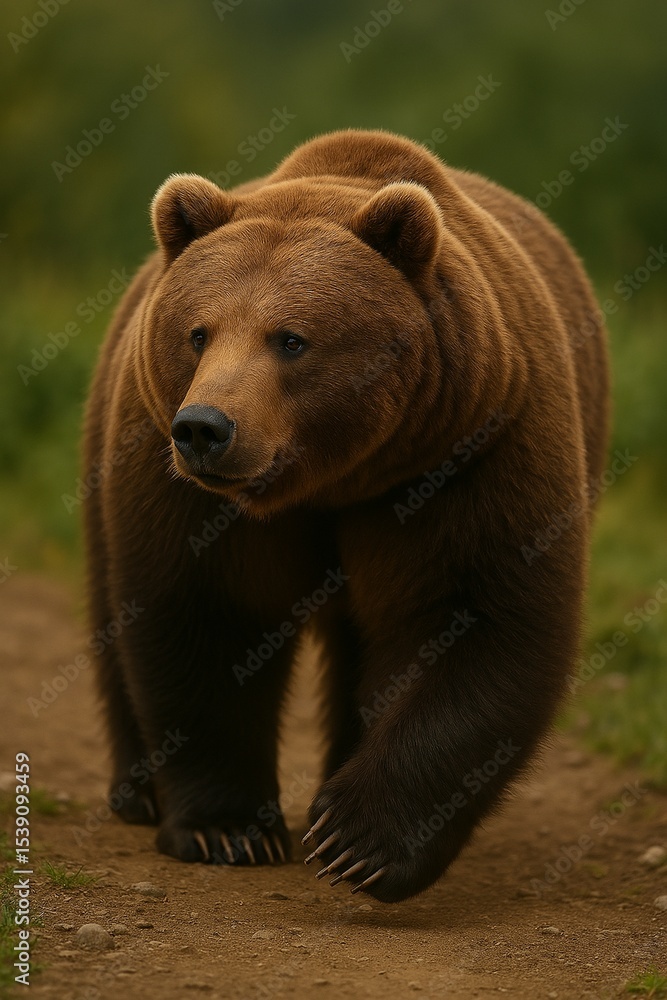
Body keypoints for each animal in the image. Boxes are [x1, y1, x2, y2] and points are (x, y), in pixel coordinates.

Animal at [83, 128, 609, 903]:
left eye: (290, 338)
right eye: (198, 332)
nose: (206, 428)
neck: (330, 479)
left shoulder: (469, 454)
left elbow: (477, 619)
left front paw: (357, 841)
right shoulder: (187, 489)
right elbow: (201, 612)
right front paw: (227, 828)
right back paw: (137, 790)